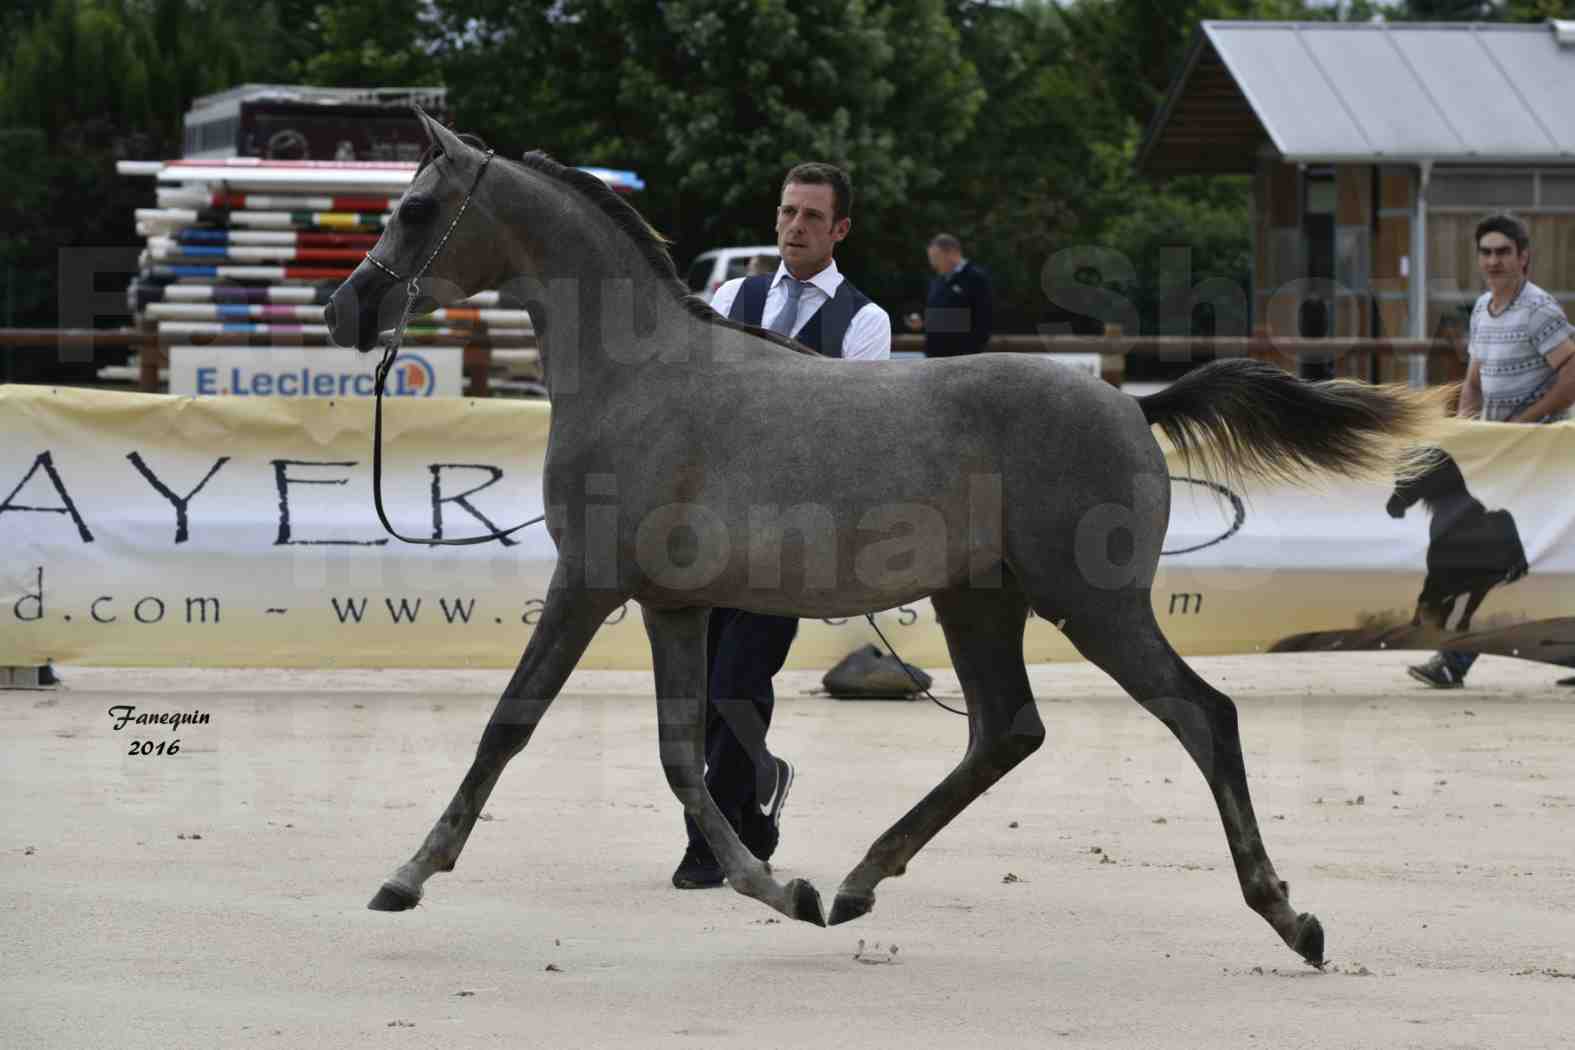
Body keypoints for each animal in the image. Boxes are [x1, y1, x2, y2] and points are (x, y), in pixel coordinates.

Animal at [326, 110, 1442, 963]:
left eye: (415, 208)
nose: (347, 311)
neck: (639, 376)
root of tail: (1134, 404)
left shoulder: (589, 583)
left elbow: (508, 725)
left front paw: (405, 876)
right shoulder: (673, 604)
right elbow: (684, 755)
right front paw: (780, 889)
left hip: (1091, 606)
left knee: (1202, 717)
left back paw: (1290, 918)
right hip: (978, 600)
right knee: (1007, 730)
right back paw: (859, 881)